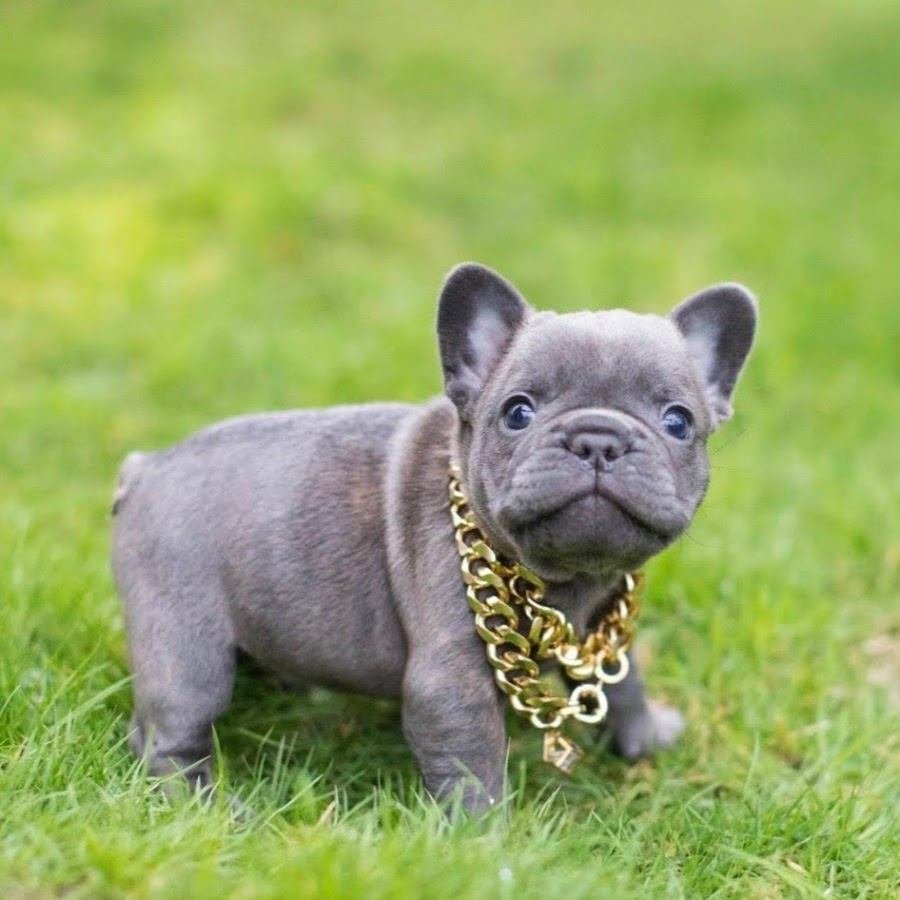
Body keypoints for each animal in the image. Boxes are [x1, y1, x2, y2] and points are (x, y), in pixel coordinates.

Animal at [111, 263, 757, 812]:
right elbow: (473, 763)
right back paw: (214, 808)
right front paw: (485, 841)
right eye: (518, 412)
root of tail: (146, 468)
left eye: (678, 422)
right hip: (187, 646)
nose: (598, 438)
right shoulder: (451, 684)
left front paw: (645, 735)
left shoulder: (602, 629)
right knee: (163, 738)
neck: (568, 581)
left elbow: (621, 682)